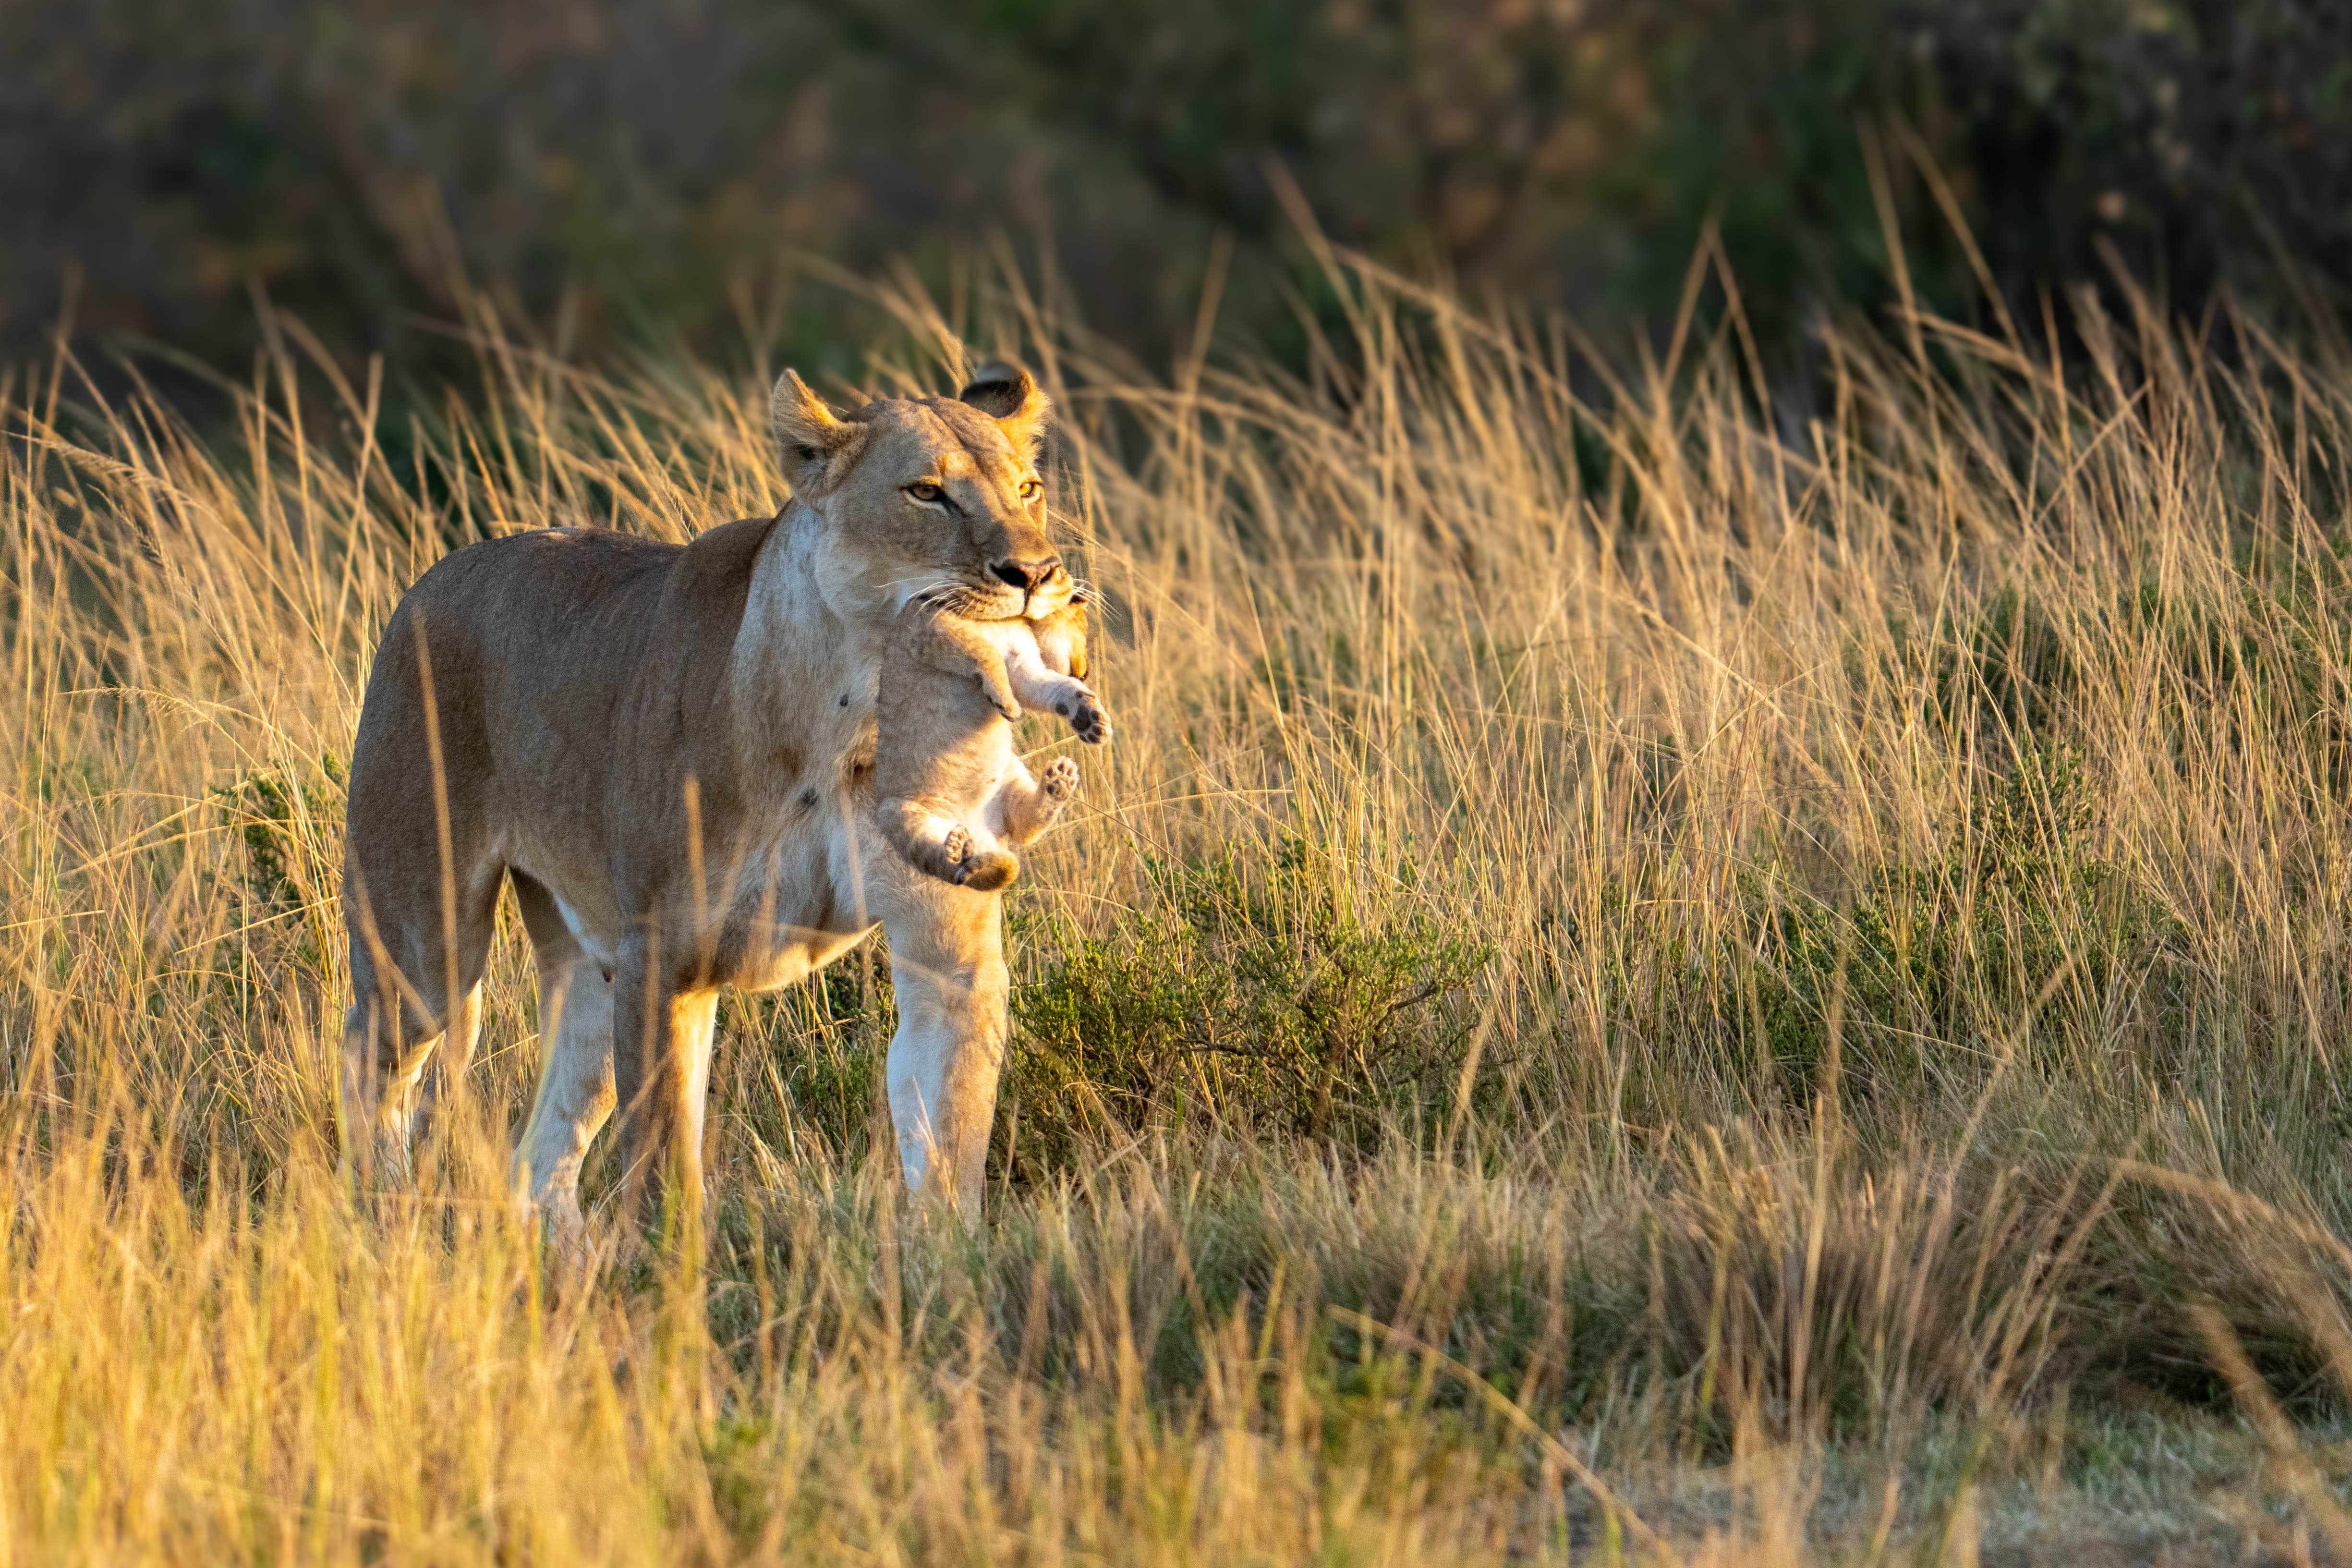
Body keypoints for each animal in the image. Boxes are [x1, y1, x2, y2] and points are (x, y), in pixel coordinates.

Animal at [338, 360, 1072, 1236]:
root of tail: (432, 577)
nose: (1036, 575)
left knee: (542, 1159)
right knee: (373, 1066)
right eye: (926, 492)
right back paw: (376, 1220)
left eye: (1028, 487)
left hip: (590, 971)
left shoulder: (948, 947)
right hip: (426, 942)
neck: (852, 712)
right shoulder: (663, 955)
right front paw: (669, 1267)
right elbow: (662, 1165)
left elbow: (948, 1131)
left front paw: (947, 1258)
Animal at [875, 594, 1110, 893]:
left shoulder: (1022, 664)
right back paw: (958, 848)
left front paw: (1092, 721)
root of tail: (981, 832)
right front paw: (1009, 706)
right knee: (954, 868)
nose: (1086, 673)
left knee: (1024, 829)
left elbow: (1056, 687)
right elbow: (985, 651)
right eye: (1081, 621)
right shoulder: (930, 629)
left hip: (1012, 778)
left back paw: (1059, 782)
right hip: (896, 815)